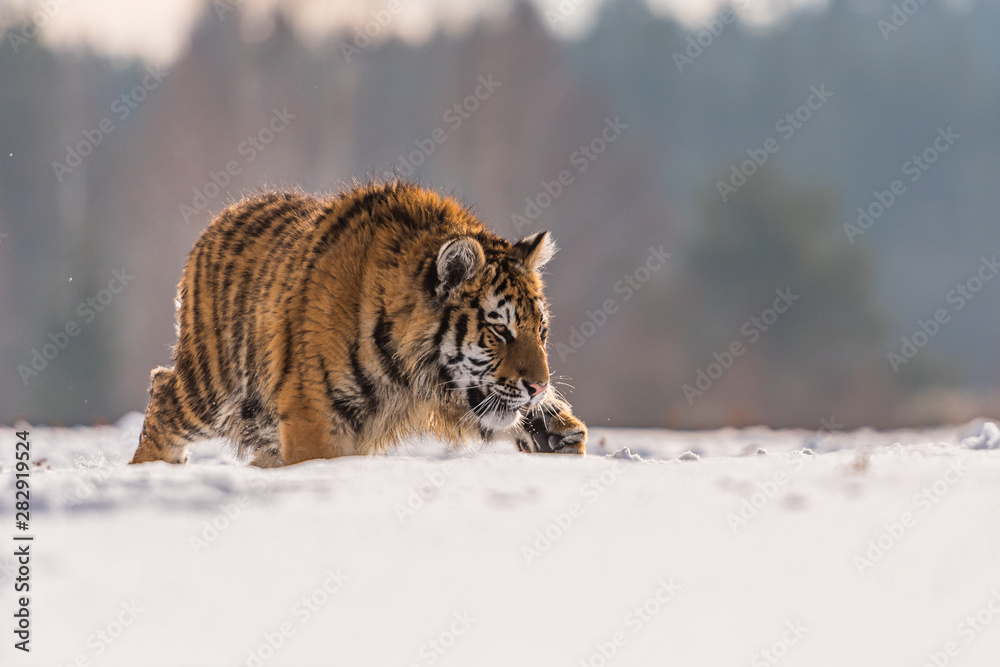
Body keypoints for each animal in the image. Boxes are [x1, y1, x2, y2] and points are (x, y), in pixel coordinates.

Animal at [129, 180, 587, 467]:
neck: (412, 376)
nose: (539, 386)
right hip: (213, 386)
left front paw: (559, 433)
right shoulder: (315, 418)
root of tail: (220, 218)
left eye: (541, 332)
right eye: (499, 331)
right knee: (162, 391)